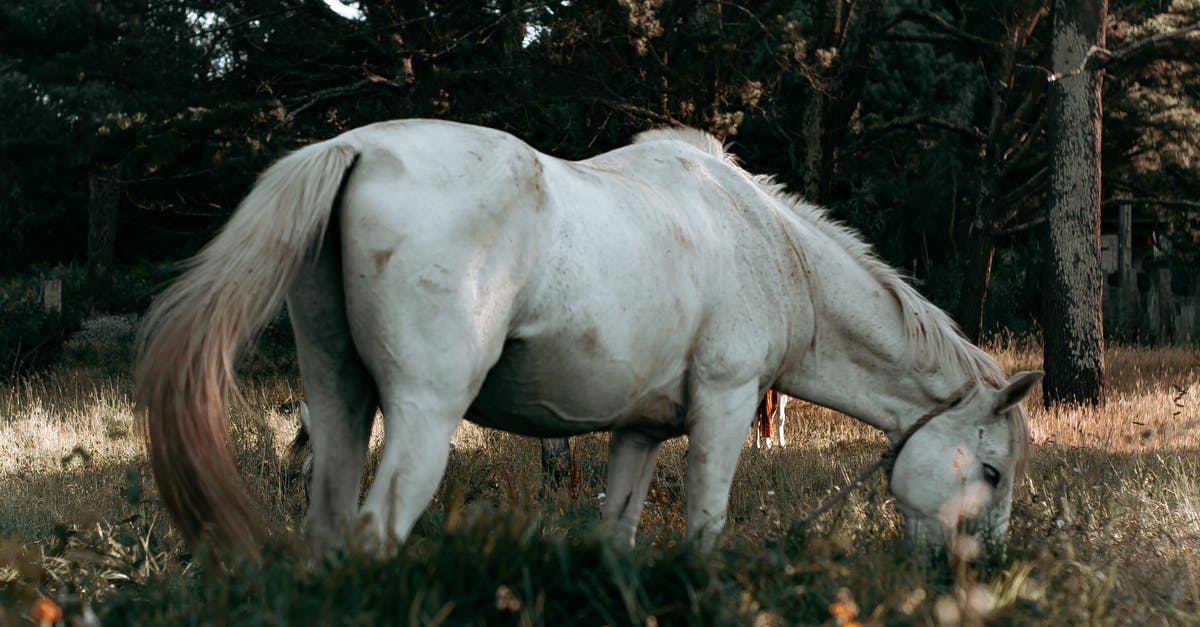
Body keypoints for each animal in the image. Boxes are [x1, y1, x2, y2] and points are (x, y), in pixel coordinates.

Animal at [136, 117, 1041, 552]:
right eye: (991, 469)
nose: (983, 568)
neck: (763, 244)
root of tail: (351, 147)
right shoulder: (724, 409)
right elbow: (703, 533)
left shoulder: (639, 434)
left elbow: (618, 534)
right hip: (423, 416)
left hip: (337, 402)